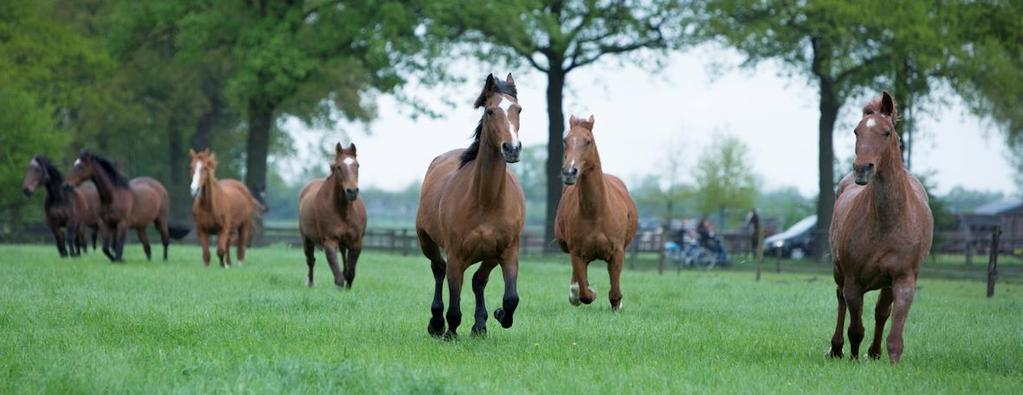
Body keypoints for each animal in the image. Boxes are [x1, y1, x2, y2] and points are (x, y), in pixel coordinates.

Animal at [298, 143, 366, 288]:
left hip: (344, 244)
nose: (352, 191)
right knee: (310, 261)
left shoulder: (356, 243)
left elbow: (350, 273)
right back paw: (310, 284)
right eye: (339, 167)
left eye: (357, 165)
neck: (343, 211)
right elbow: (338, 276)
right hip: (307, 239)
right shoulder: (329, 242)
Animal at [417, 72, 527, 337]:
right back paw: (437, 323)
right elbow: (454, 300)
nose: (512, 148)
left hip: (489, 256)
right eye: (490, 111)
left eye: (518, 109)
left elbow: (511, 298)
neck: (486, 201)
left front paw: (499, 315)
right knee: (439, 269)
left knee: (478, 281)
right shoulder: (457, 256)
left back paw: (479, 326)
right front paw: (450, 332)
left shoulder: (508, 252)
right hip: (426, 240)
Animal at [556, 114, 634, 311]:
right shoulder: (576, 252)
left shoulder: (617, 252)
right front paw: (589, 292)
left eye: (588, 141)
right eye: (565, 140)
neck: (596, 213)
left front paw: (617, 304)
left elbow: (615, 292)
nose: (569, 172)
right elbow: (583, 292)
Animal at [830, 91, 937, 364]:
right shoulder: (853, 281)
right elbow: (856, 328)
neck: (887, 222)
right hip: (839, 273)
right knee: (840, 301)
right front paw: (853, 358)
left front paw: (891, 361)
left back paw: (875, 352)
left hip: (886, 284)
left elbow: (894, 331)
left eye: (886, 132)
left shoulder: (903, 279)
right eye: (856, 131)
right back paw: (836, 349)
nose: (862, 168)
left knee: (881, 312)